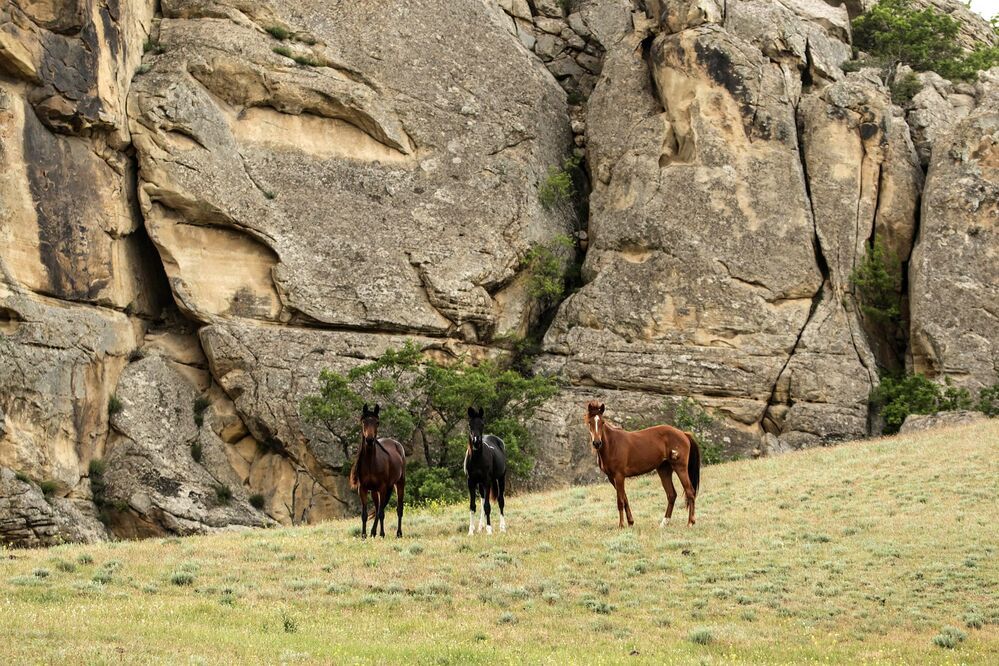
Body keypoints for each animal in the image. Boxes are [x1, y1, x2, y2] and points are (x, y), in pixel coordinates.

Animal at [349, 403, 406, 538]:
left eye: (377, 422)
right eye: (363, 421)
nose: (369, 440)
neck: (371, 463)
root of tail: (397, 444)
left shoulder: (383, 487)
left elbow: (381, 513)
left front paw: (382, 534)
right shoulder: (363, 489)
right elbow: (365, 514)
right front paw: (364, 535)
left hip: (399, 483)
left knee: (398, 509)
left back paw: (398, 533)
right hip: (375, 491)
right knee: (379, 506)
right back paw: (373, 532)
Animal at [463, 406, 507, 535]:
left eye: (482, 424)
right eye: (470, 424)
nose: (476, 441)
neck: (477, 459)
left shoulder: (487, 481)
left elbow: (488, 506)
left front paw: (489, 530)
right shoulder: (471, 482)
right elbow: (473, 506)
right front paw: (471, 531)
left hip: (501, 478)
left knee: (500, 500)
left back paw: (503, 527)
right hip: (481, 484)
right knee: (482, 502)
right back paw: (479, 527)